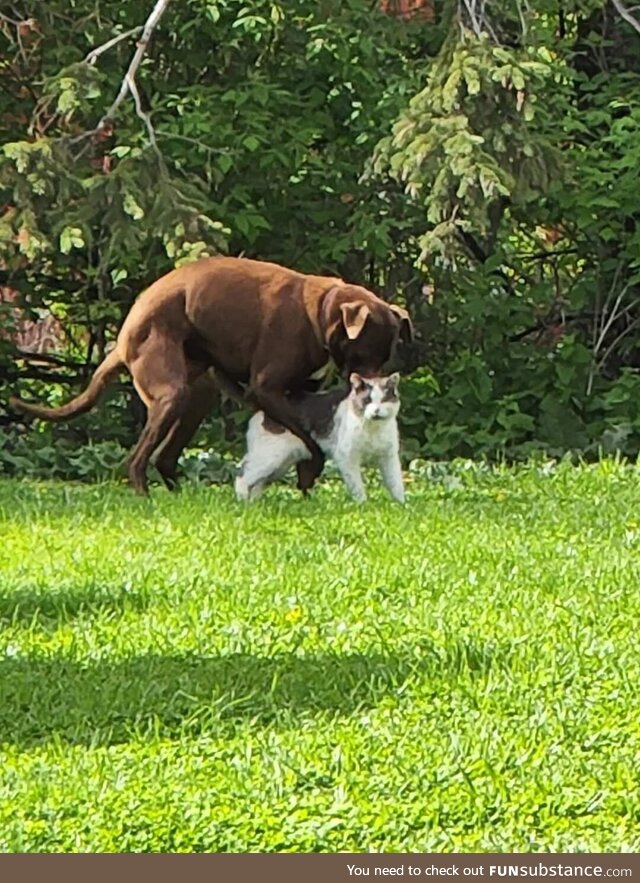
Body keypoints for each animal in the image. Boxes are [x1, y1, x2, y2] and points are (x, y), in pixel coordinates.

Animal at [235, 372, 404, 504]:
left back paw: (255, 503)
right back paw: (243, 502)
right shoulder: (346, 457)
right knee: (242, 476)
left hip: (281, 464)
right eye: (367, 400)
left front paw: (402, 505)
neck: (373, 428)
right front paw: (363, 504)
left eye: (384, 400)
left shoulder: (388, 457)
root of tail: (260, 412)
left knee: (258, 482)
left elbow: (396, 482)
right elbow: (357, 486)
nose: (376, 411)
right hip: (271, 458)